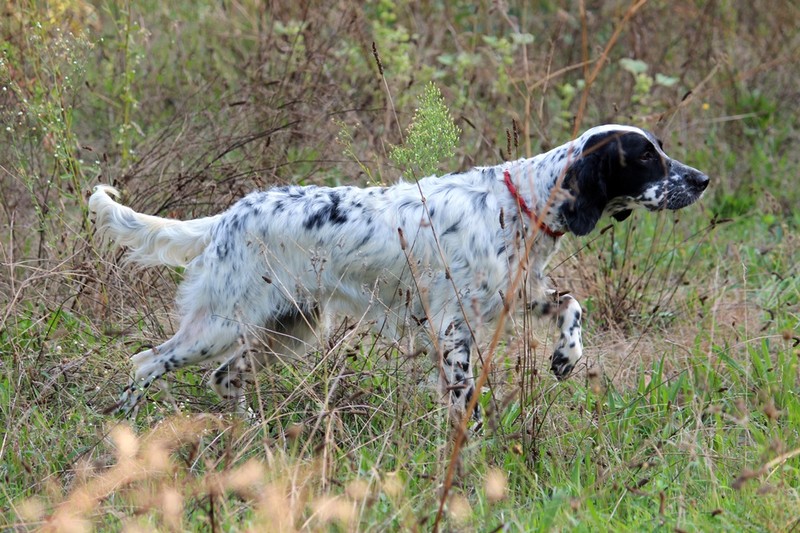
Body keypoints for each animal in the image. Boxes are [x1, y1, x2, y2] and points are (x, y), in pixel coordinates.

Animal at [90, 123, 708, 420]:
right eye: (646, 156)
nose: (702, 180)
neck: (522, 204)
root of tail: (228, 216)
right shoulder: (454, 330)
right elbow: (464, 400)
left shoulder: (518, 294)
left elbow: (572, 305)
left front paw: (566, 356)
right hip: (222, 323)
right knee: (147, 361)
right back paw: (126, 425)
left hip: (288, 326)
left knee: (225, 378)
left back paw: (249, 435)